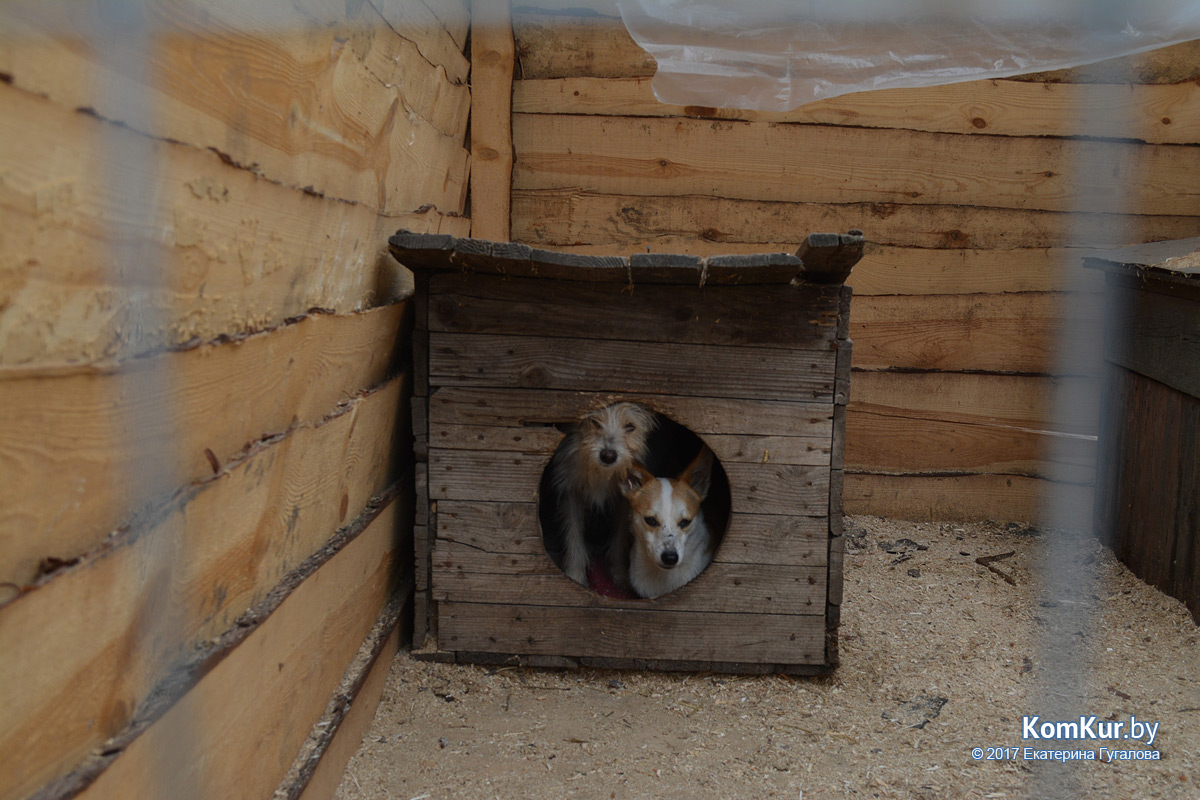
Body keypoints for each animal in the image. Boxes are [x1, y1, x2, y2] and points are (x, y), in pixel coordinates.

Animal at [549, 402, 657, 585]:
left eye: (630, 426)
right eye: (594, 421)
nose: (608, 456)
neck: (601, 472)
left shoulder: (624, 502)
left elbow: (620, 537)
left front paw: (620, 575)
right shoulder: (572, 495)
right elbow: (574, 537)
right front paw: (575, 575)